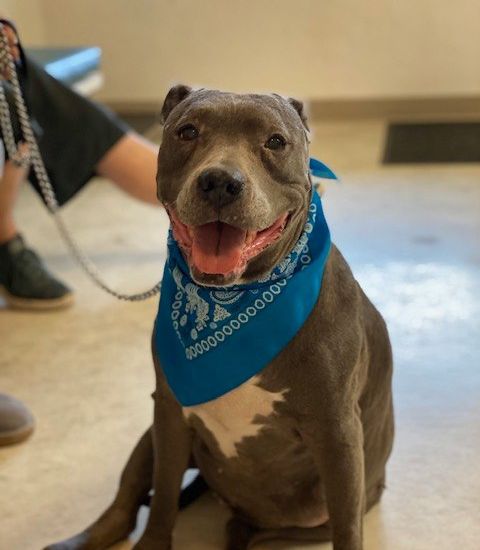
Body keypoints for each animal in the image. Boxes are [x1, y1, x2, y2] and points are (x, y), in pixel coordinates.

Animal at [46, 86, 394, 550]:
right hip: (150, 434)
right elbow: (162, 501)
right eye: (187, 131)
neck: (238, 299)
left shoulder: (337, 434)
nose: (220, 182)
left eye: (275, 141)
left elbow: (348, 528)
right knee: (124, 506)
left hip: (301, 521)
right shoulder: (170, 412)